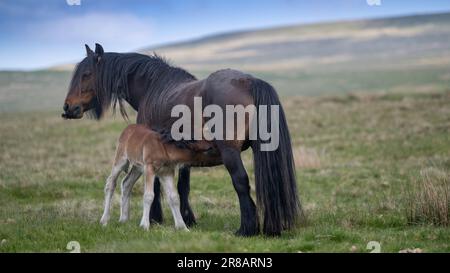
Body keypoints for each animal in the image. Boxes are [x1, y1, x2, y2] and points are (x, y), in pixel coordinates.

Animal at [62, 43, 302, 235]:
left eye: (86, 74)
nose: (67, 108)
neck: (153, 88)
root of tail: (249, 81)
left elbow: (156, 187)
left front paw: (154, 219)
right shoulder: (180, 155)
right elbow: (182, 187)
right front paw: (187, 219)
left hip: (230, 152)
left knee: (241, 182)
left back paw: (246, 229)